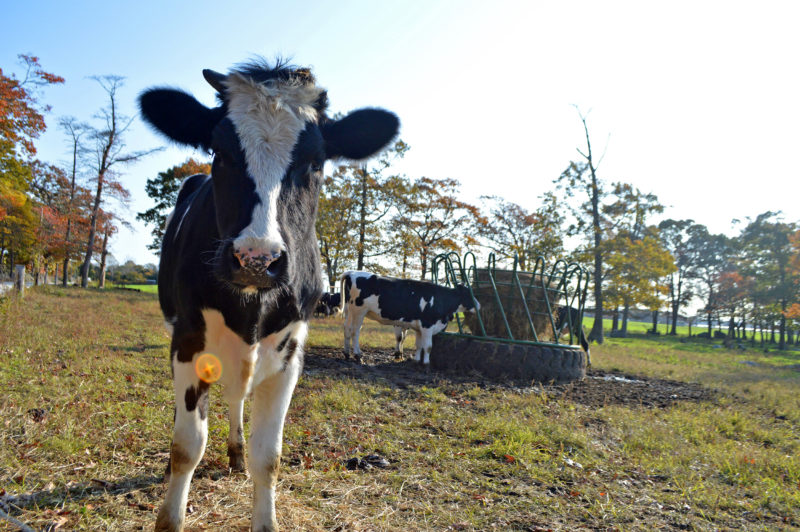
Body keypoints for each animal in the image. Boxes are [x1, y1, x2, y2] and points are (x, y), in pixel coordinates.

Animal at [340, 272, 478, 364]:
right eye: (468, 294)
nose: (479, 305)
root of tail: (352, 272)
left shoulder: (418, 327)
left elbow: (418, 345)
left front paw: (416, 360)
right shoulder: (427, 325)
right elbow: (428, 346)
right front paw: (426, 364)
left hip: (349, 311)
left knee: (347, 328)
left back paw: (347, 354)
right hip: (359, 311)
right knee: (355, 331)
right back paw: (358, 355)